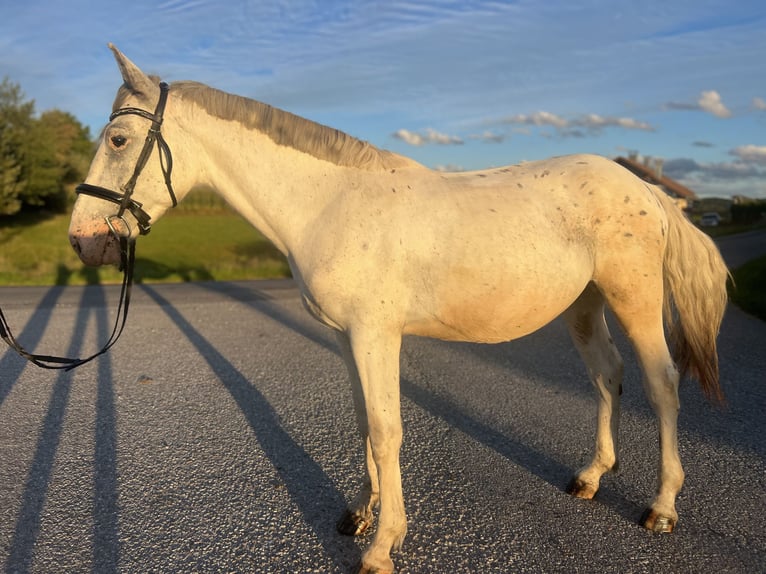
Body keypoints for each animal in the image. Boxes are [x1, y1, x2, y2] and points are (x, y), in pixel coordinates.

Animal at [69, 45, 729, 574]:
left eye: (118, 140)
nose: (82, 240)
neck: (330, 202)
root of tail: (647, 189)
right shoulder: (345, 337)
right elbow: (365, 422)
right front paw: (360, 514)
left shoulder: (375, 335)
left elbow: (388, 431)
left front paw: (383, 546)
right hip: (586, 306)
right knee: (606, 377)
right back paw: (591, 476)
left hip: (635, 301)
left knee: (661, 384)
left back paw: (662, 508)